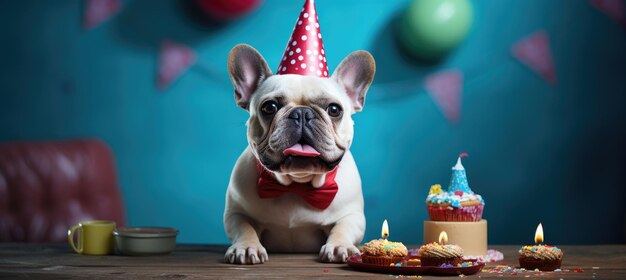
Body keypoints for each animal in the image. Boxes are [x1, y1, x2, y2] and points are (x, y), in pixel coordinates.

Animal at [222, 44, 372, 264]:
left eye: (334, 109)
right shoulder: (235, 213)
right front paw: (247, 248)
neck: (297, 184)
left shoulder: (353, 216)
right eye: (269, 107)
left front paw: (339, 246)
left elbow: (342, 227)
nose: (302, 113)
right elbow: (244, 228)